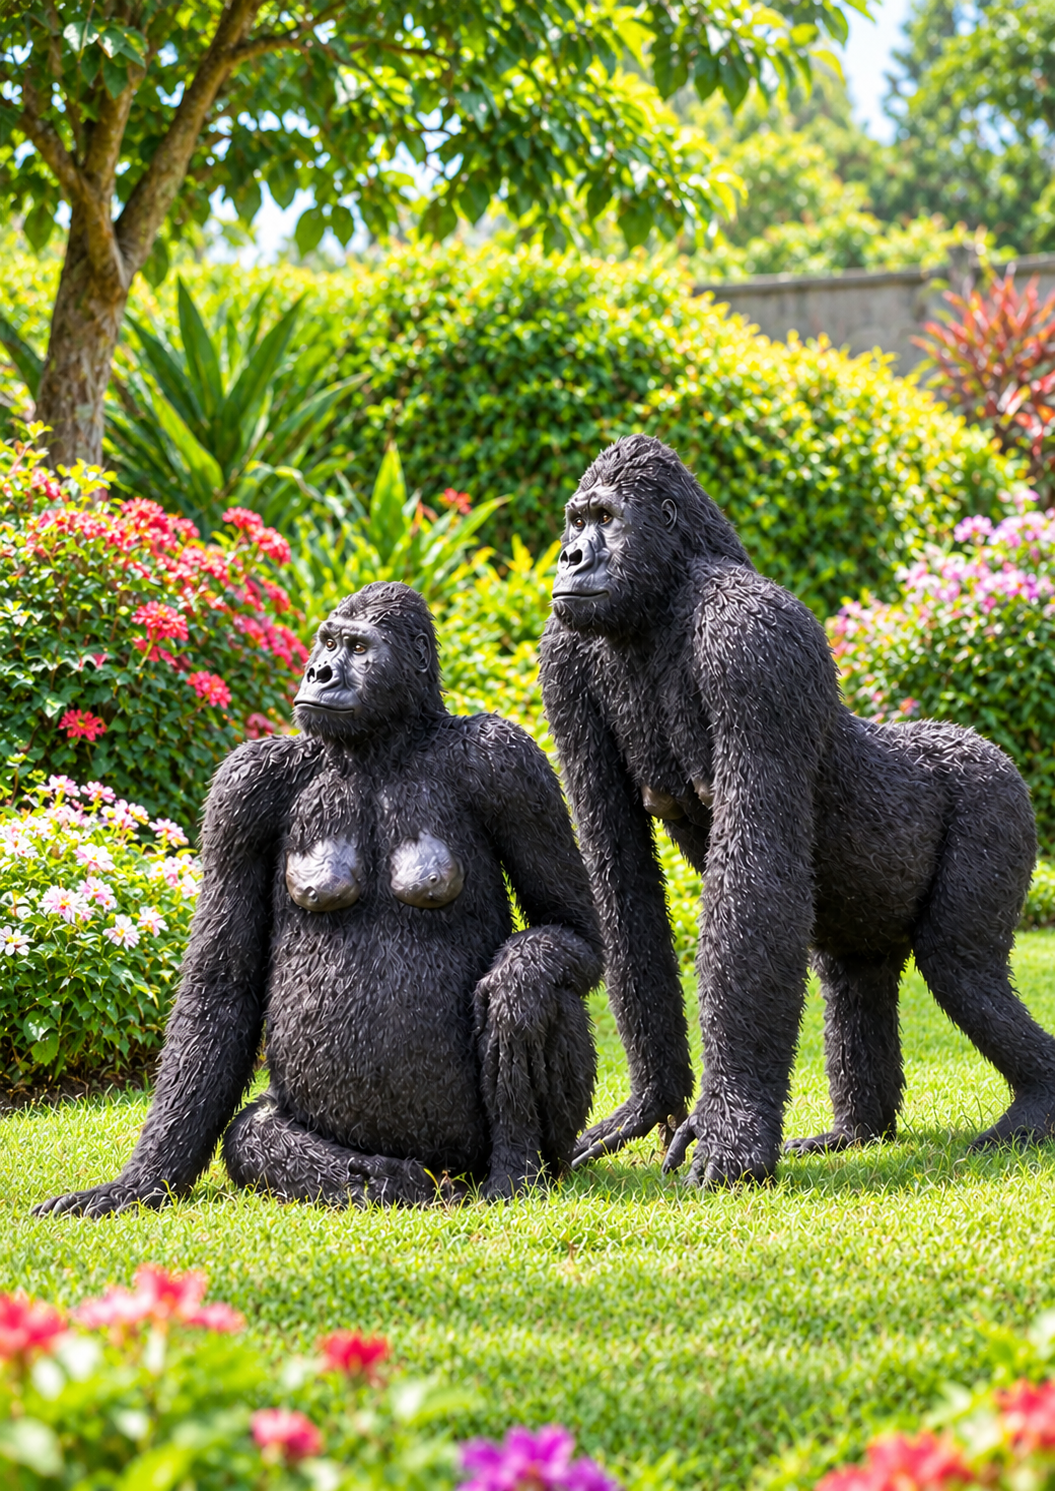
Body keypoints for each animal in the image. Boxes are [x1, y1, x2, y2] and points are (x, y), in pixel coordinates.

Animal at [36, 583, 601, 1215]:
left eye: (357, 648)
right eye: (327, 642)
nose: (319, 671)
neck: (382, 745)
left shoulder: (509, 761)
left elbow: (572, 929)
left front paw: (515, 987)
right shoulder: (244, 783)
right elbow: (220, 983)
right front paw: (140, 1182)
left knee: (549, 988)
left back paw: (517, 1165)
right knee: (252, 1134)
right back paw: (385, 1179)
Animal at [539, 433, 1055, 1188]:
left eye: (603, 518)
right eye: (575, 522)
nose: (572, 556)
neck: (659, 602)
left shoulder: (753, 642)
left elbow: (754, 879)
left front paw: (730, 1134)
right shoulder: (564, 660)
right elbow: (618, 874)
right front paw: (652, 1099)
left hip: (996, 797)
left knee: (962, 966)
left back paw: (1036, 1105)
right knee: (857, 977)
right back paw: (857, 1130)